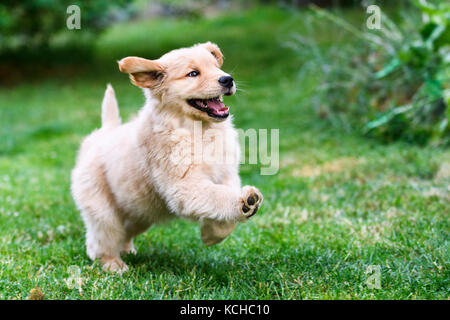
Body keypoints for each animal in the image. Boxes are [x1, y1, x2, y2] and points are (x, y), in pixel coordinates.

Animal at [71, 42, 264, 272]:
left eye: (216, 67)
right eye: (193, 73)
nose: (227, 79)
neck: (198, 131)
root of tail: (105, 131)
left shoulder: (226, 174)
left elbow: (223, 210)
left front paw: (211, 235)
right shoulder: (184, 185)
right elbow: (218, 196)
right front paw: (245, 202)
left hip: (140, 211)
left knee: (124, 231)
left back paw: (127, 251)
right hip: (103, 210)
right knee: (101, 239)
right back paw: (113, 265)